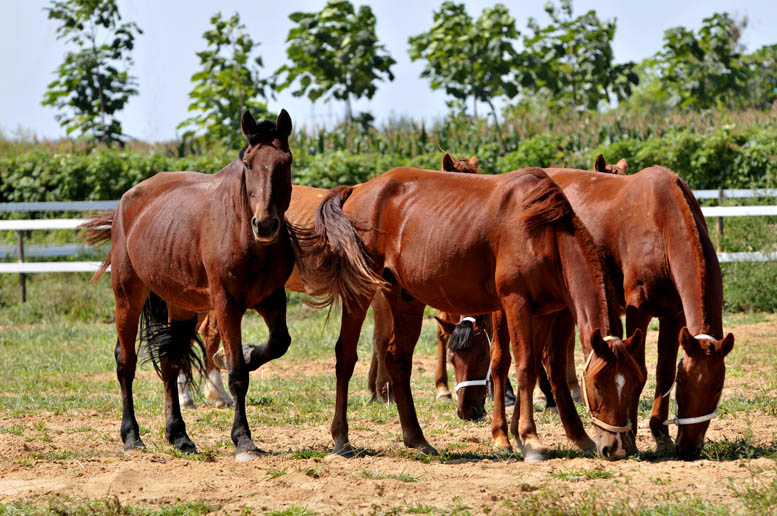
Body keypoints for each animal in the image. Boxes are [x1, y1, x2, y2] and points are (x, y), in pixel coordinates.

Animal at [79, 110, 383, 462]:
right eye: (249, 164)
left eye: (286, 161)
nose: (265, 224)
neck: (245, 236)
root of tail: (128, 201)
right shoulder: (226, 304)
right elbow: (238, 373)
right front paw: (244, 440)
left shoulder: (271, 299)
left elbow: (278, 343)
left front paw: (249, 355)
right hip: (128, 294)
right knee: (125, 362)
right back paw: (132, 436)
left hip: (181, 303)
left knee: (170, 360)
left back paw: (180, 437)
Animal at [324, 165, 644, 462]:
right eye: (598, 384)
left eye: (635, 383)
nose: (617, 447)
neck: (543, 232)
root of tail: (357, 190)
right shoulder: (515, 302)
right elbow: (524, 365)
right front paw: (529, 439)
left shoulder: (545, 311)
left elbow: (534, 364)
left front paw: (520, 434)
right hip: (360, 293)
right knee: (346, 355)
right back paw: (342, 438)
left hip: (405, 299)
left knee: (398, 358)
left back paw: (417, 438)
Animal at [437, 157, 734, 459]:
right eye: (684, 386)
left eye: (717, 387)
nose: (690, 447)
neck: (661, 217)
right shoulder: (638, 308)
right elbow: (641, 366)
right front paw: (633, 433)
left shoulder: (673, 314)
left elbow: (663, 373)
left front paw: (660, 433)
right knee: (503, 362)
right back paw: (502, 433)